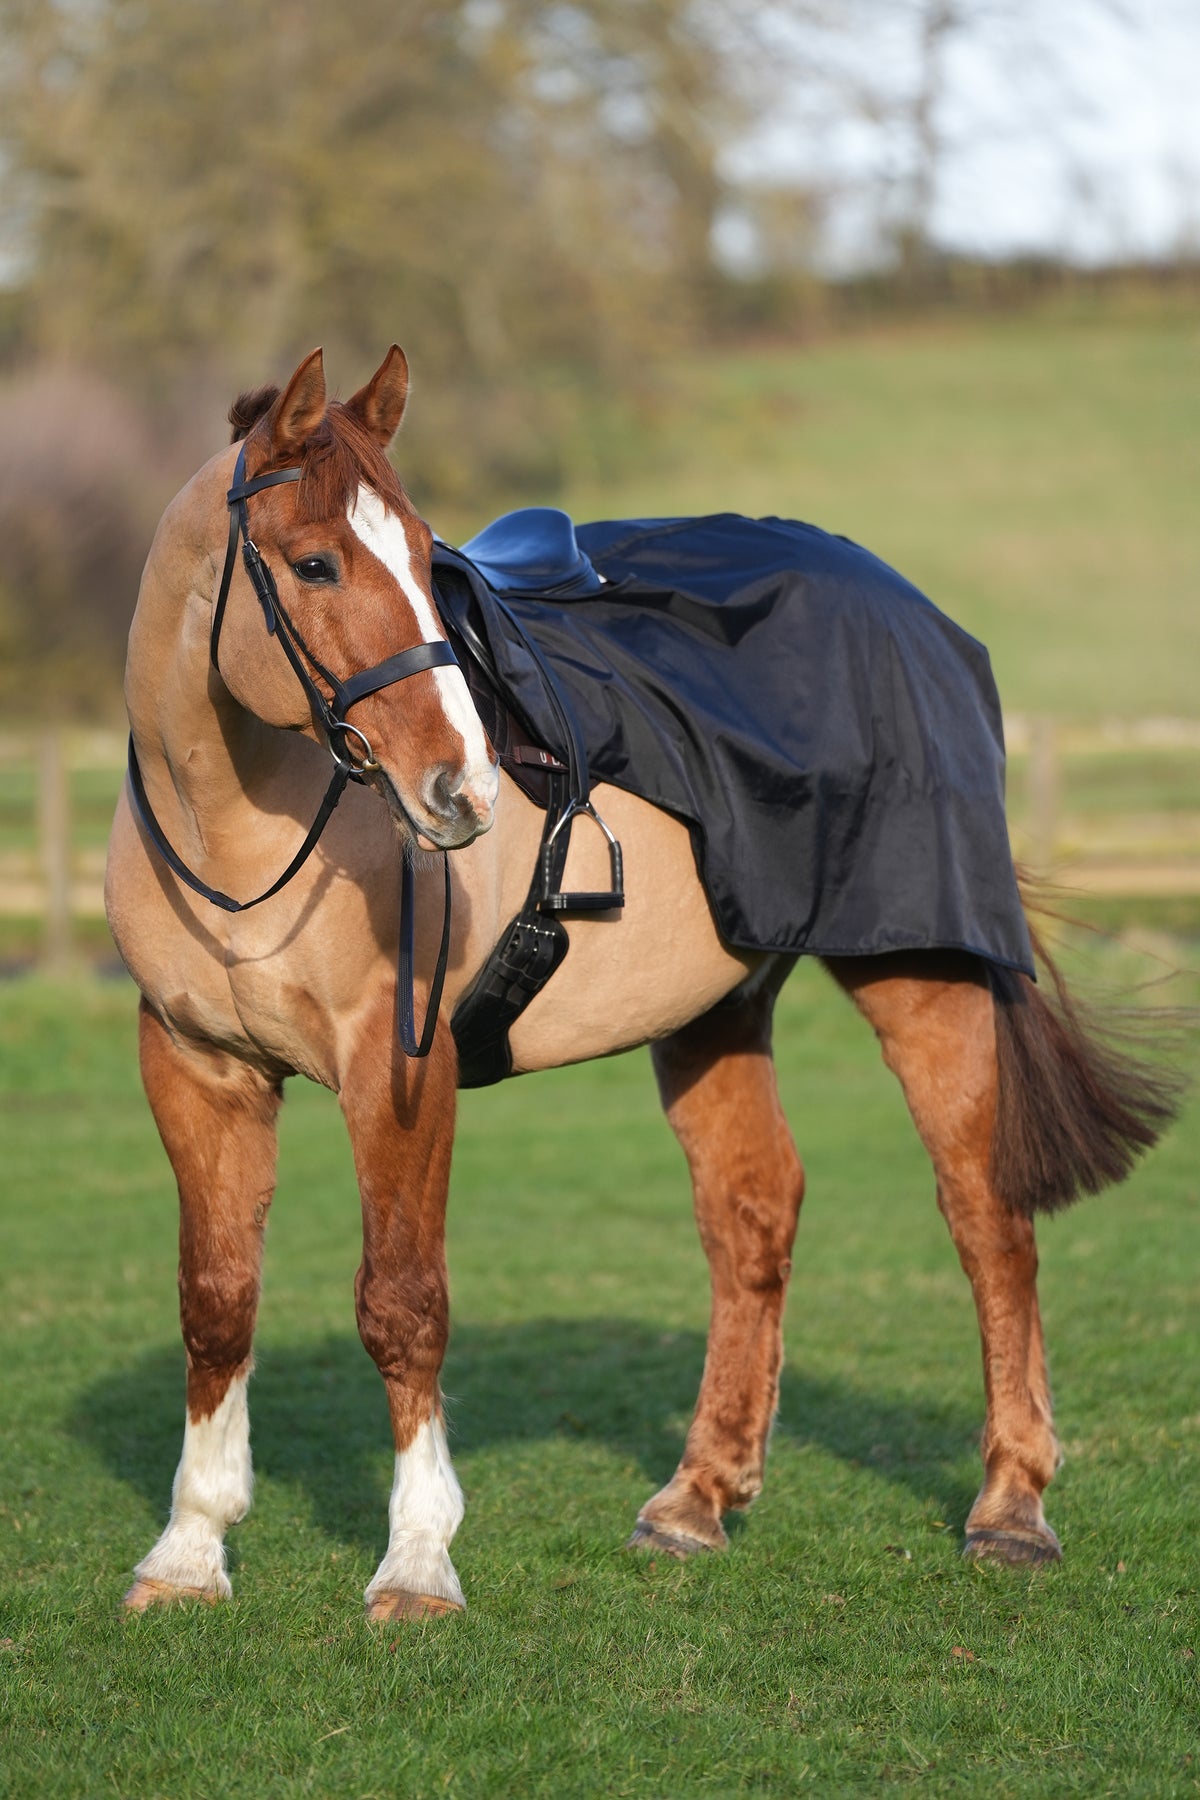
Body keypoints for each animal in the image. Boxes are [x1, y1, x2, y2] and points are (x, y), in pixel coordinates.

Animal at [104, 344, 1179, 1621]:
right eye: (314, 562)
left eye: (422, 554)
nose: (461, 791)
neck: (240, 833)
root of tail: (906, 605)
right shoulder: (197, 1068)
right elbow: (216, 1301)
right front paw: (189, 1549)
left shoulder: (398, 1068)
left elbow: (402, 1302)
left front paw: (417, 1562)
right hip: (717, 1007)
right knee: (753, 1213)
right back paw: (697, 1498)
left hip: (922, 977)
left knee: (987, 1218)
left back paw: (1011, 1506)